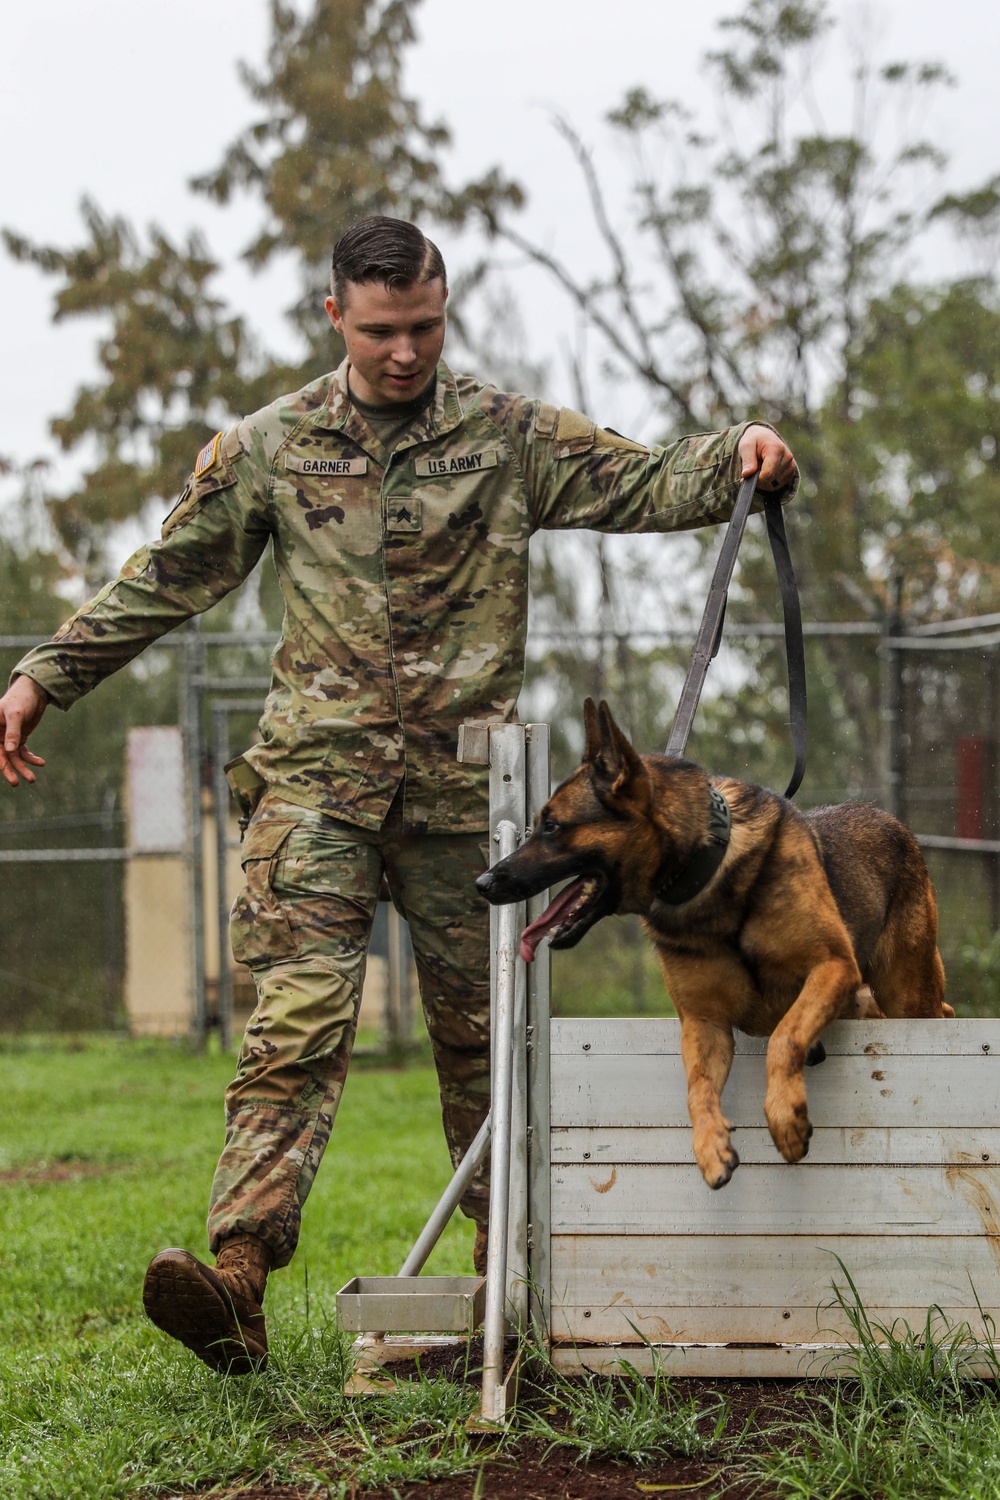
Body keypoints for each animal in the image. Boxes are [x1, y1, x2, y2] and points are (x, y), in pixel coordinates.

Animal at [476, 699, 947, 1182]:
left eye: (552, 827)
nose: (484, 884)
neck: (705, 875)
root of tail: (892, 821)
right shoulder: (705, 1024)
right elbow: (696, 1087)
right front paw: (710, 1146)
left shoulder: (832, 967)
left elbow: (785, 1037)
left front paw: (785, 1116)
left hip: (906, 996)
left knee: (939, 1010)